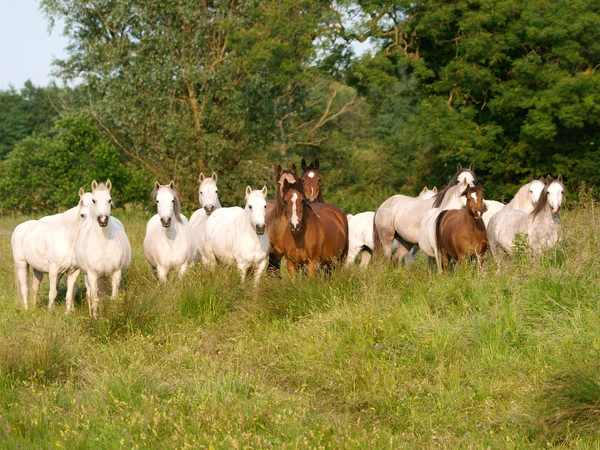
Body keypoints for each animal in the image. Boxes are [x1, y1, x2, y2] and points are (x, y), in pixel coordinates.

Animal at [75, 181, 131, 318]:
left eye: (109, 200)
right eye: (94, 200)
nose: (103, 219)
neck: (103, 243)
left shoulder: (116, 273)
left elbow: (113, 298)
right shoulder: (92, 274)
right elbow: (95, 298)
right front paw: (95, 318)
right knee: (90, 295)